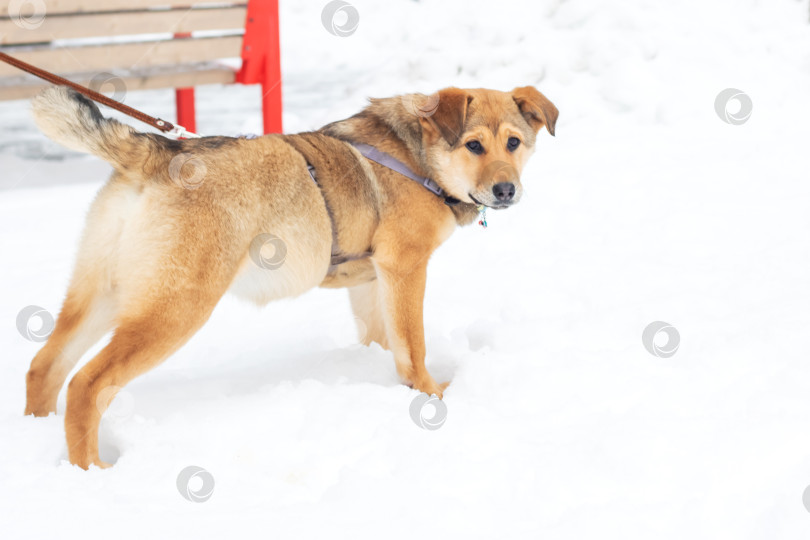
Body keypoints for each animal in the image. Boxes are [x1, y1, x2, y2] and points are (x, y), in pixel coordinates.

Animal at [25, 84, 556, 468]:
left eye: (513, 143)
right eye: (473, 145)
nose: (506, 190)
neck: (418, 158)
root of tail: (159, 149)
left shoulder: (372, 282)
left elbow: (385, 342)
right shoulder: (405, 268)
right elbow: (413, 349)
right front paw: (430, 396)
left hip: (100, 296)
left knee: (44, 368)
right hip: (175, 310)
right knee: (86, 385)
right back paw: (91, 471)